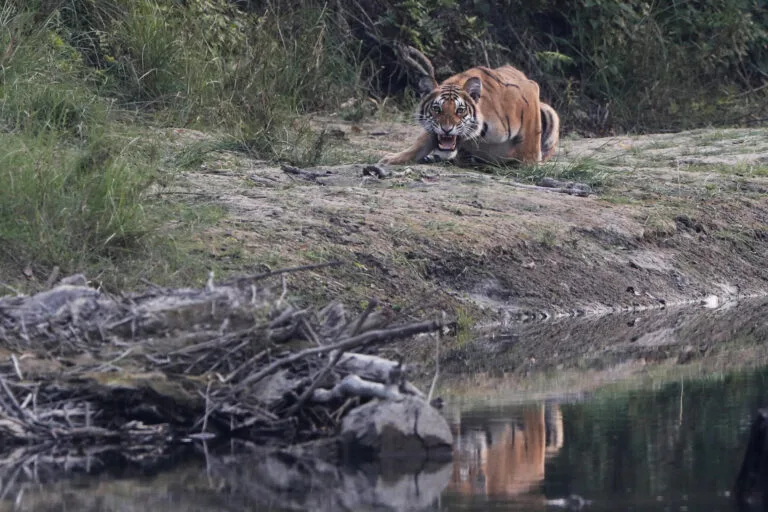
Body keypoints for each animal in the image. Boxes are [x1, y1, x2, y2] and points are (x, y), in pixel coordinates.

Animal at [378, 65, 560, 166]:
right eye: (437, 109)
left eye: (460, 110)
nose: (446, 129)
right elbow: (421, 142)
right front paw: (392, 158)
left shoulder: (530, 91)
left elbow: (531, 136)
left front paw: (529, 164)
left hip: (549, 112)